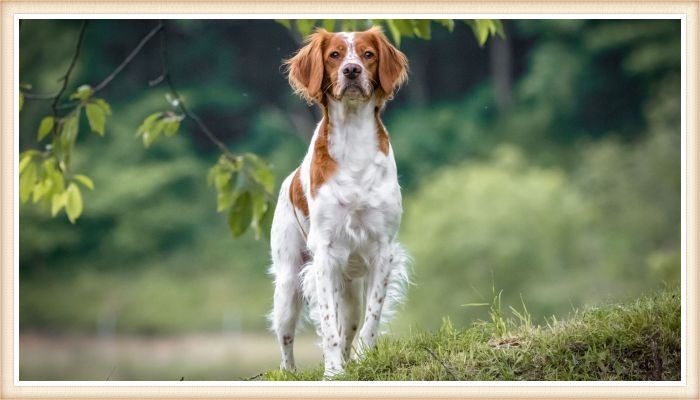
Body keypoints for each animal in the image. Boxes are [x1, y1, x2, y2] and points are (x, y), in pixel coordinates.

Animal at [268, 25, 410, 378]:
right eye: (334, 55)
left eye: (368, 54)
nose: (352, 70)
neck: (353, 139)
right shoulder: (324, 254)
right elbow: (329, 326)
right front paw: (333, 372)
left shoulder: (382, 250)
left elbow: (371, 319)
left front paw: (364, 360)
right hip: (288, 285)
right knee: (286, 338)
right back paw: (291, 372)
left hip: (350, 291)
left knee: (351, 325)